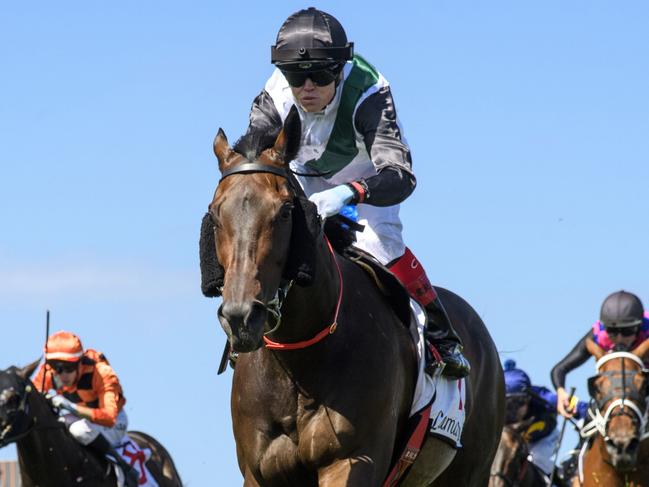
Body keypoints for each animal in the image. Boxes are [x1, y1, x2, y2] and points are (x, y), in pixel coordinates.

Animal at [205, 107, 504, 487]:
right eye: (215, 214)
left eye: (285, 211)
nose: (242, 317)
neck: (299, 364)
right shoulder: (259, 473)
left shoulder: (352, 460)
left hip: (472, 471)